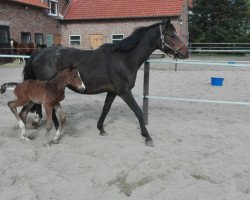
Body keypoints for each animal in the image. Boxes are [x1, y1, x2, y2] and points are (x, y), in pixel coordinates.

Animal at [22, 19, 188, 147]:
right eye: (171, 35)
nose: (186, 52)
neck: (124, 58)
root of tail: (39, 53)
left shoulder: (113, 91)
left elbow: (105, 109)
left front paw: (101, 129)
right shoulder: (124, 91)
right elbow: (138, 111)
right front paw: (147, 137)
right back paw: (55, 132)